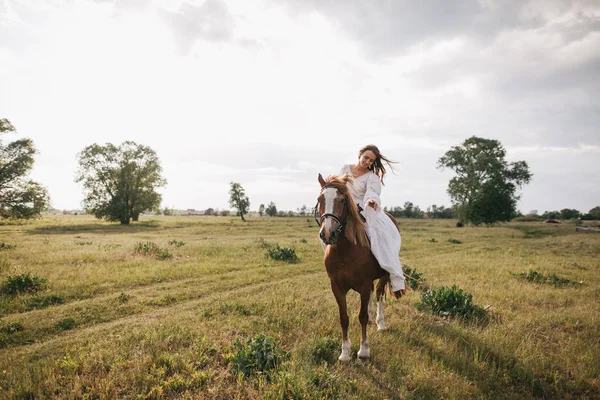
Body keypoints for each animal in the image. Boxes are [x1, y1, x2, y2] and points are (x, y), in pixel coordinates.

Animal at [316, 173, 400, 360]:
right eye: (320, 199)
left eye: (342, 200)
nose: (328, 233)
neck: (345, 251)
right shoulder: (337, 286)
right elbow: (344, 317)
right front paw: (345, 352)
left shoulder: (363, 284)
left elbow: (361, 316)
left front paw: (364, 350)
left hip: (384, 275)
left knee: (378, 294)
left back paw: (380, 323)